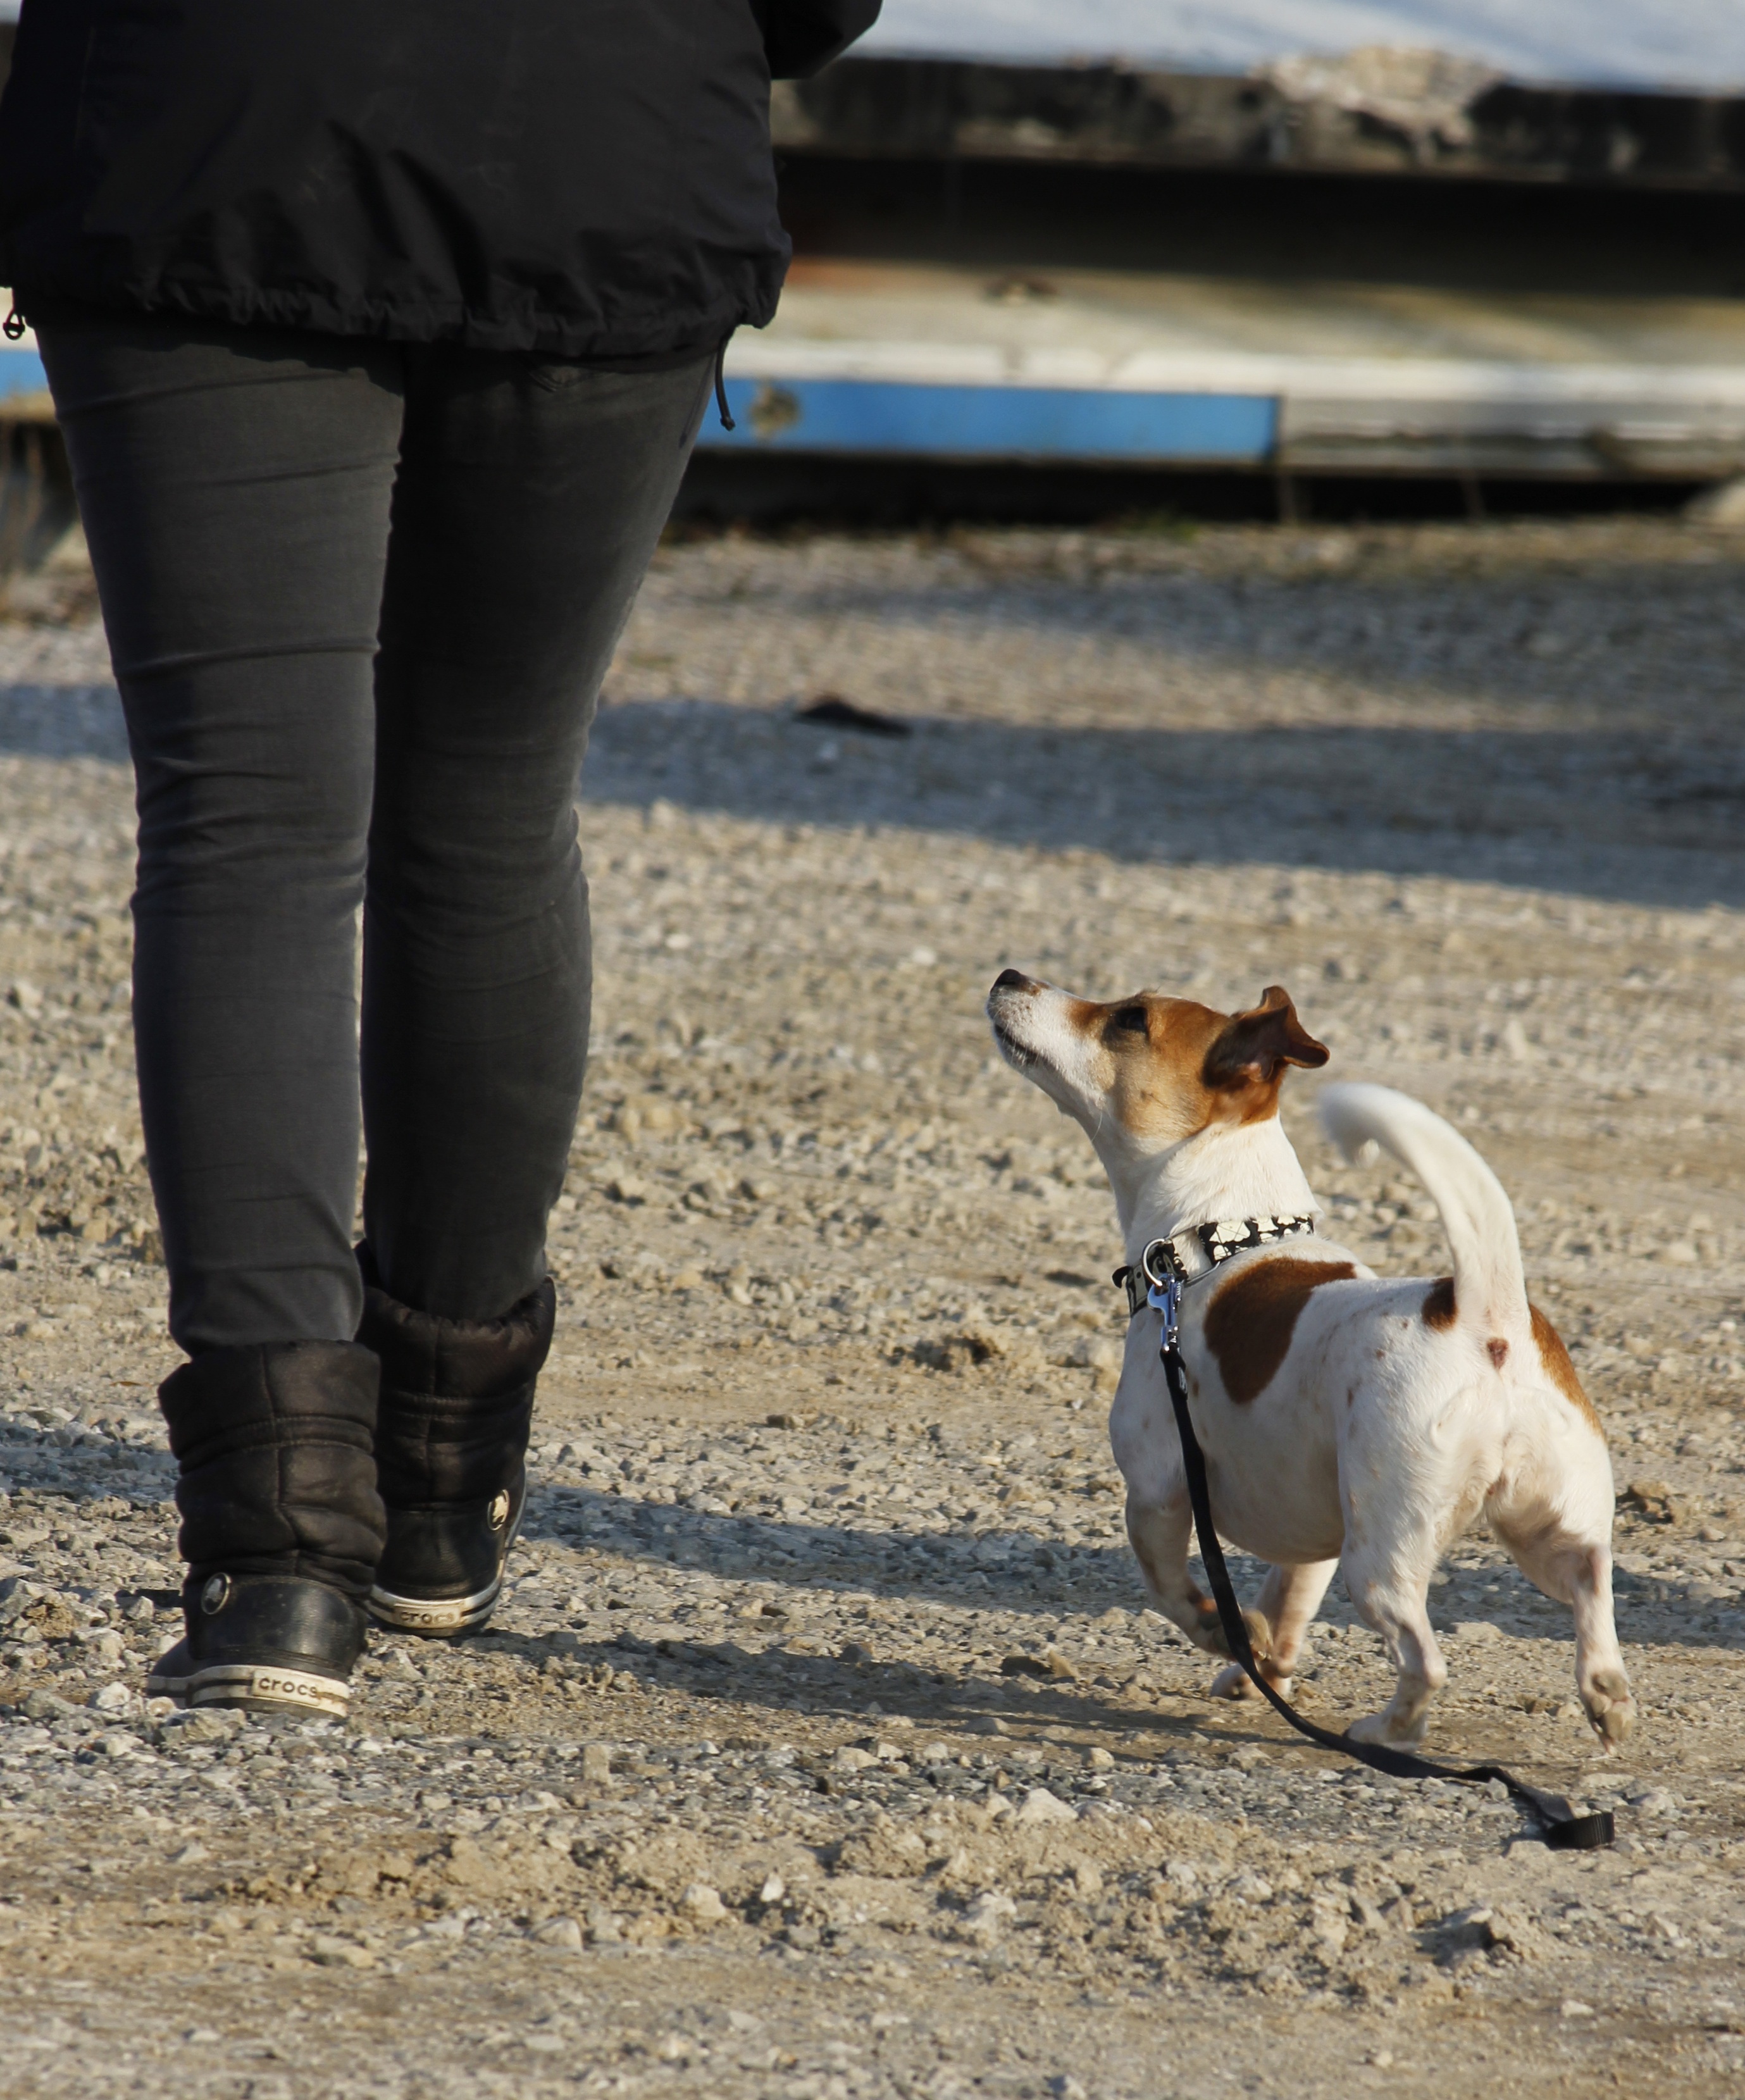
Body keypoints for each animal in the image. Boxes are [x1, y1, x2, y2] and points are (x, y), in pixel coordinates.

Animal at [995, 970, 1637, 1755]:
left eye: (1130, 1019)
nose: (1009, 976)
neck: (1216, 1238)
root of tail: (1486, 1317)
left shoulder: (1154, 1494)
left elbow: (1173, 1590)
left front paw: (1226, 1633)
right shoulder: (1311, 1538)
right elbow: (1286, 1608)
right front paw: (1257, 1667)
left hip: (1382, 1559)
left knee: (1425, 1661)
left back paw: (1384, 1729)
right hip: (1541, 1528)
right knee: (1592, 1585)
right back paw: (1605, 1695)